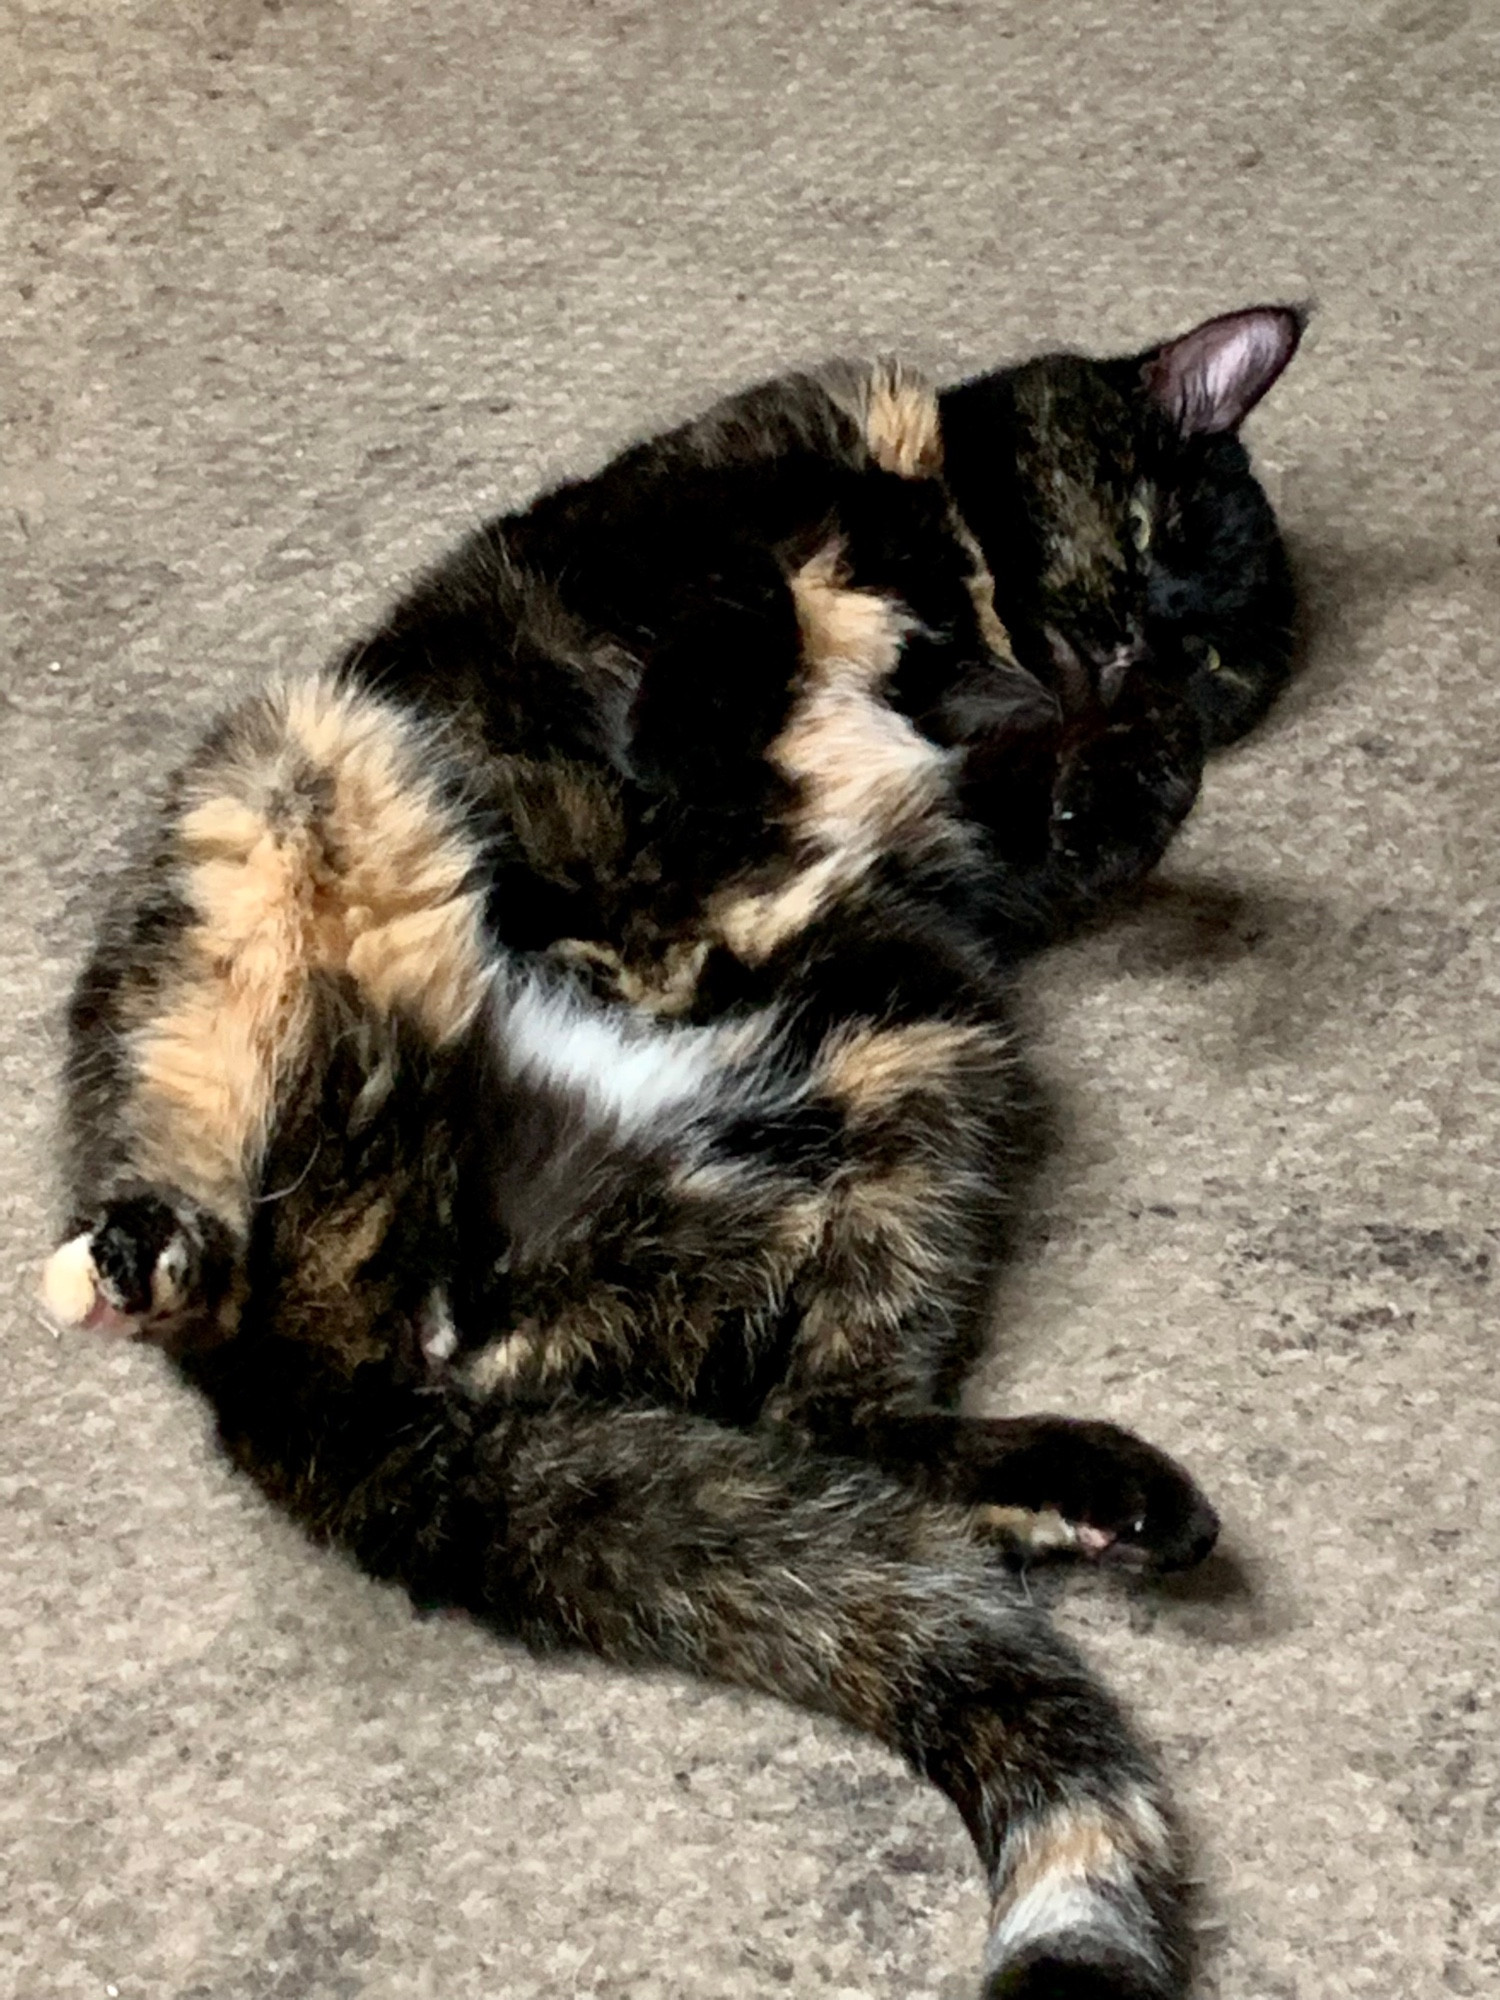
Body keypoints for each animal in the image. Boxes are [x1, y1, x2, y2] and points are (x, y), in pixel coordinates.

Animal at [38, 300, 1304, 2000]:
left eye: (1225, 661)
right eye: (1161, 528)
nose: (1146, 655)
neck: (963, 614)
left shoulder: (985, 858)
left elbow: (1063, 818)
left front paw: (1140, 759)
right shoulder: (693, 510)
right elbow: (730, 613)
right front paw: (700, 741)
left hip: (928, 1025)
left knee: (833, 1418)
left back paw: (1113, 1499)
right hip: (296, 761)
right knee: (227, 1175)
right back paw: (147, 1257)